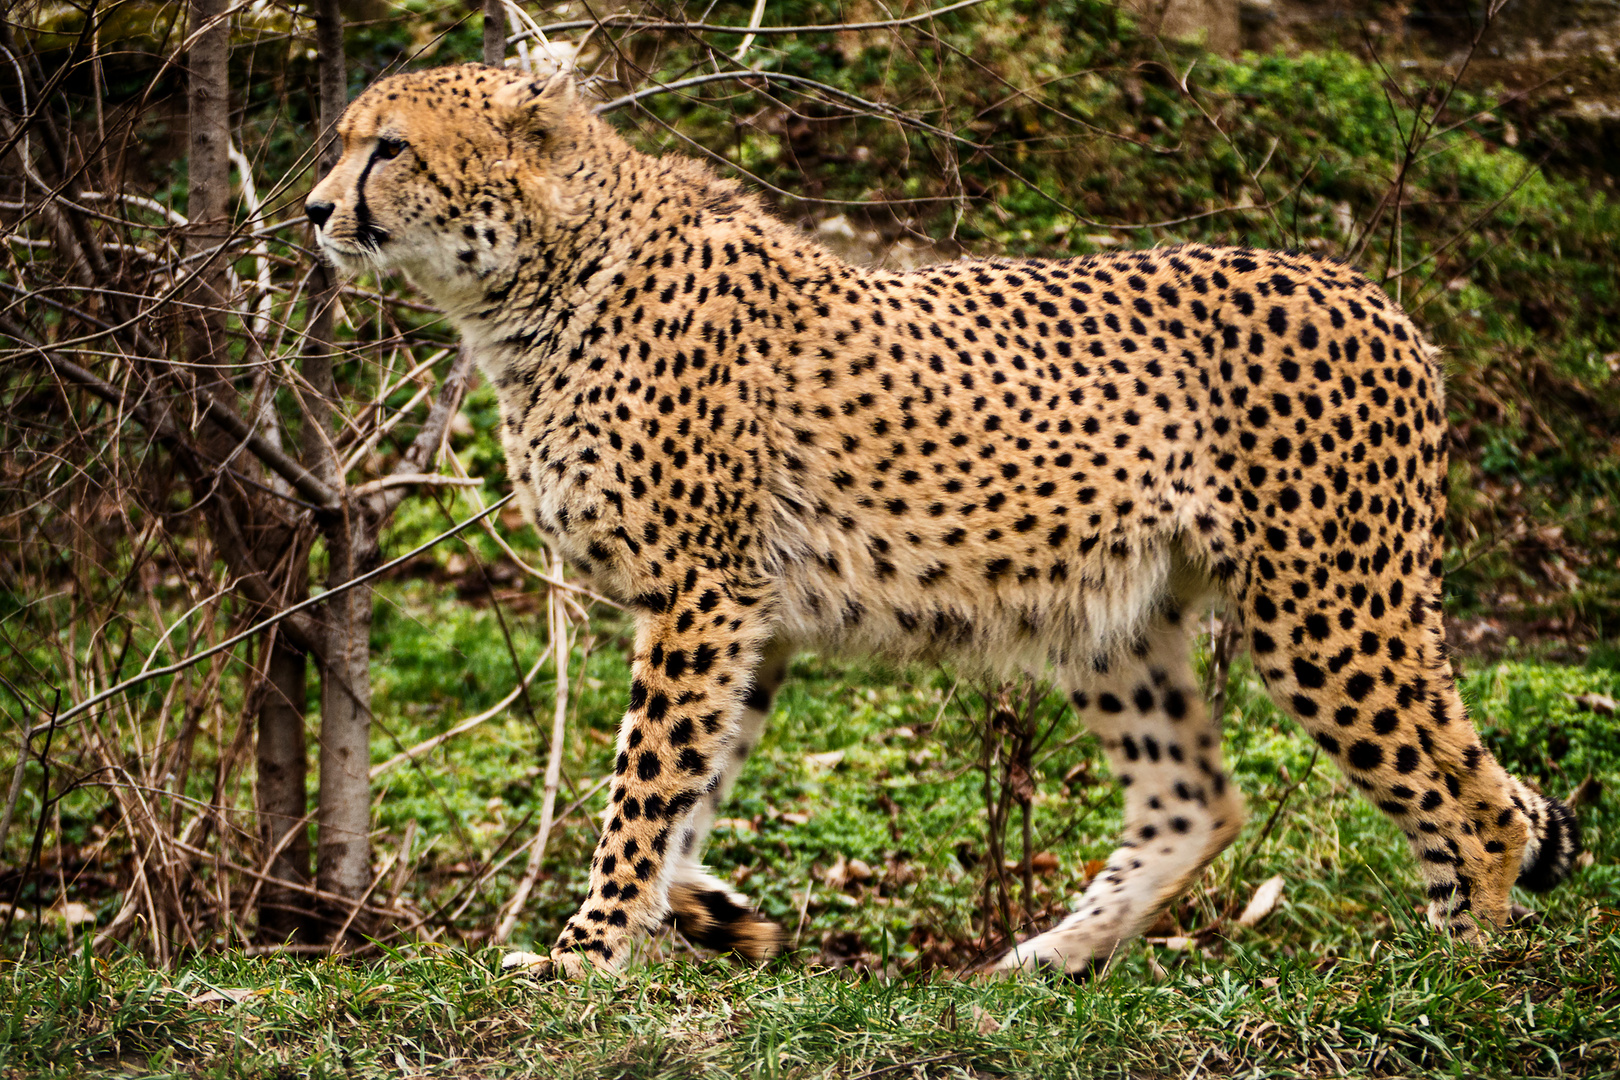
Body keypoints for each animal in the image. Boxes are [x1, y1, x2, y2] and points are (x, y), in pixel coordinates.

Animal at [306, 67, 1581, 977]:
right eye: (347, 139)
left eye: (389, 145)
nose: (316, 208)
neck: (539, 276)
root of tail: (1373, 296)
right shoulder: (746, 611)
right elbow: (693, 782)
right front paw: (706, 910)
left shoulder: (700, 592)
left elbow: (645, 781)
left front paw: (587, 950)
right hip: (1115, 617)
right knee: (1200, 800)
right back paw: (1049, 958)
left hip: (1325, 608)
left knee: (1470, 799)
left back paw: (1456, 965)